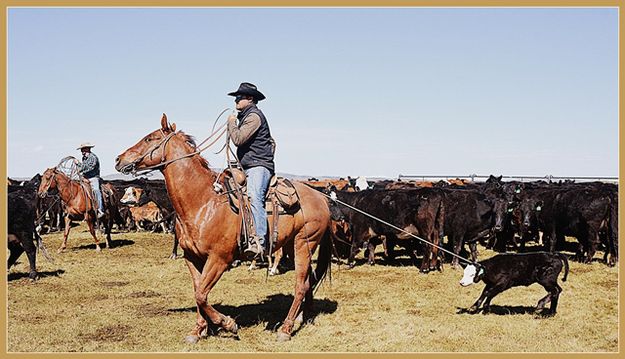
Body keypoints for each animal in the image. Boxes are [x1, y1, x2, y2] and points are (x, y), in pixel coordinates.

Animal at [115, 115, 334, 344]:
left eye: (149, 139)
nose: (118, 159)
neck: (202, 201)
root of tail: (322, 198)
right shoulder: (192, 257)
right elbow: (198, 291)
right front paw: (198, 330)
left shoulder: (219, 259)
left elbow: (201, 294)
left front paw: (227, 323)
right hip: (293, 244)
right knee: (308, 280)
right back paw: (303, 317)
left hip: (304, 243)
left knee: (300, 285)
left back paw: (286, 328)